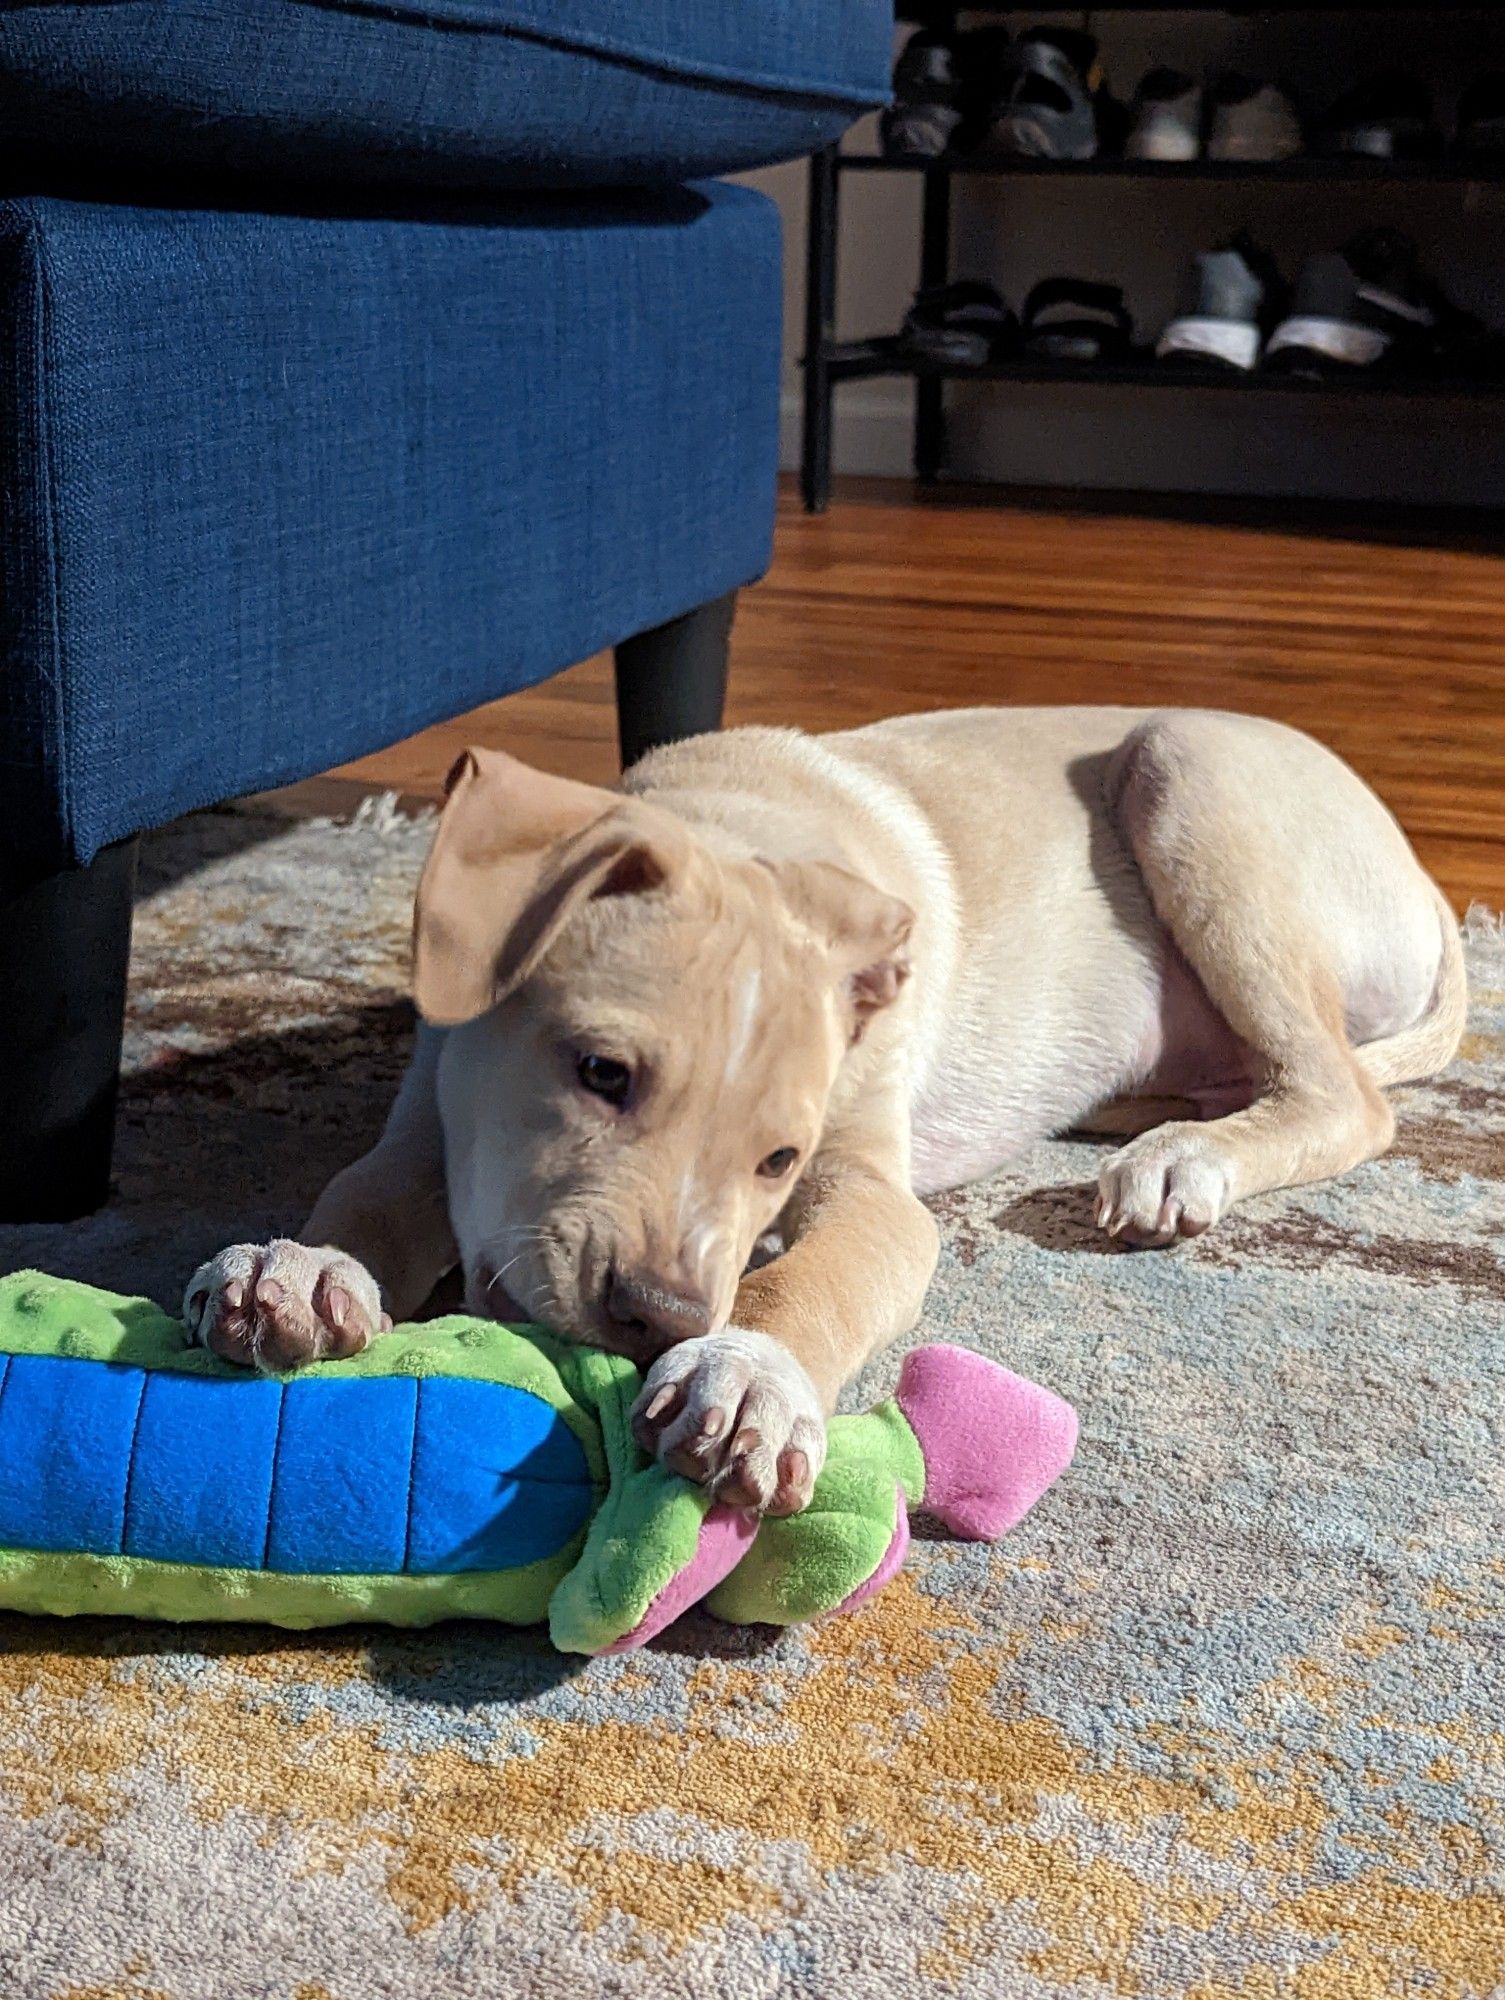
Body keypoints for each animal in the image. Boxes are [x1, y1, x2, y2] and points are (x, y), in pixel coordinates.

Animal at [185, 712, 1456, 1504]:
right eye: (600, 1072)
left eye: (778, 1160)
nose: (657, 1318)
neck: (735, 829)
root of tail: (1425, 881)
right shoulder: (435, 1105)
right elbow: (367, 1187)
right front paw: (298, 1267)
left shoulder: (871, 1186)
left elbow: (817, 1271)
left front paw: (747, 1375)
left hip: (1188, 773)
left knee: (1345, 1098)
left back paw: (1177, 1159)